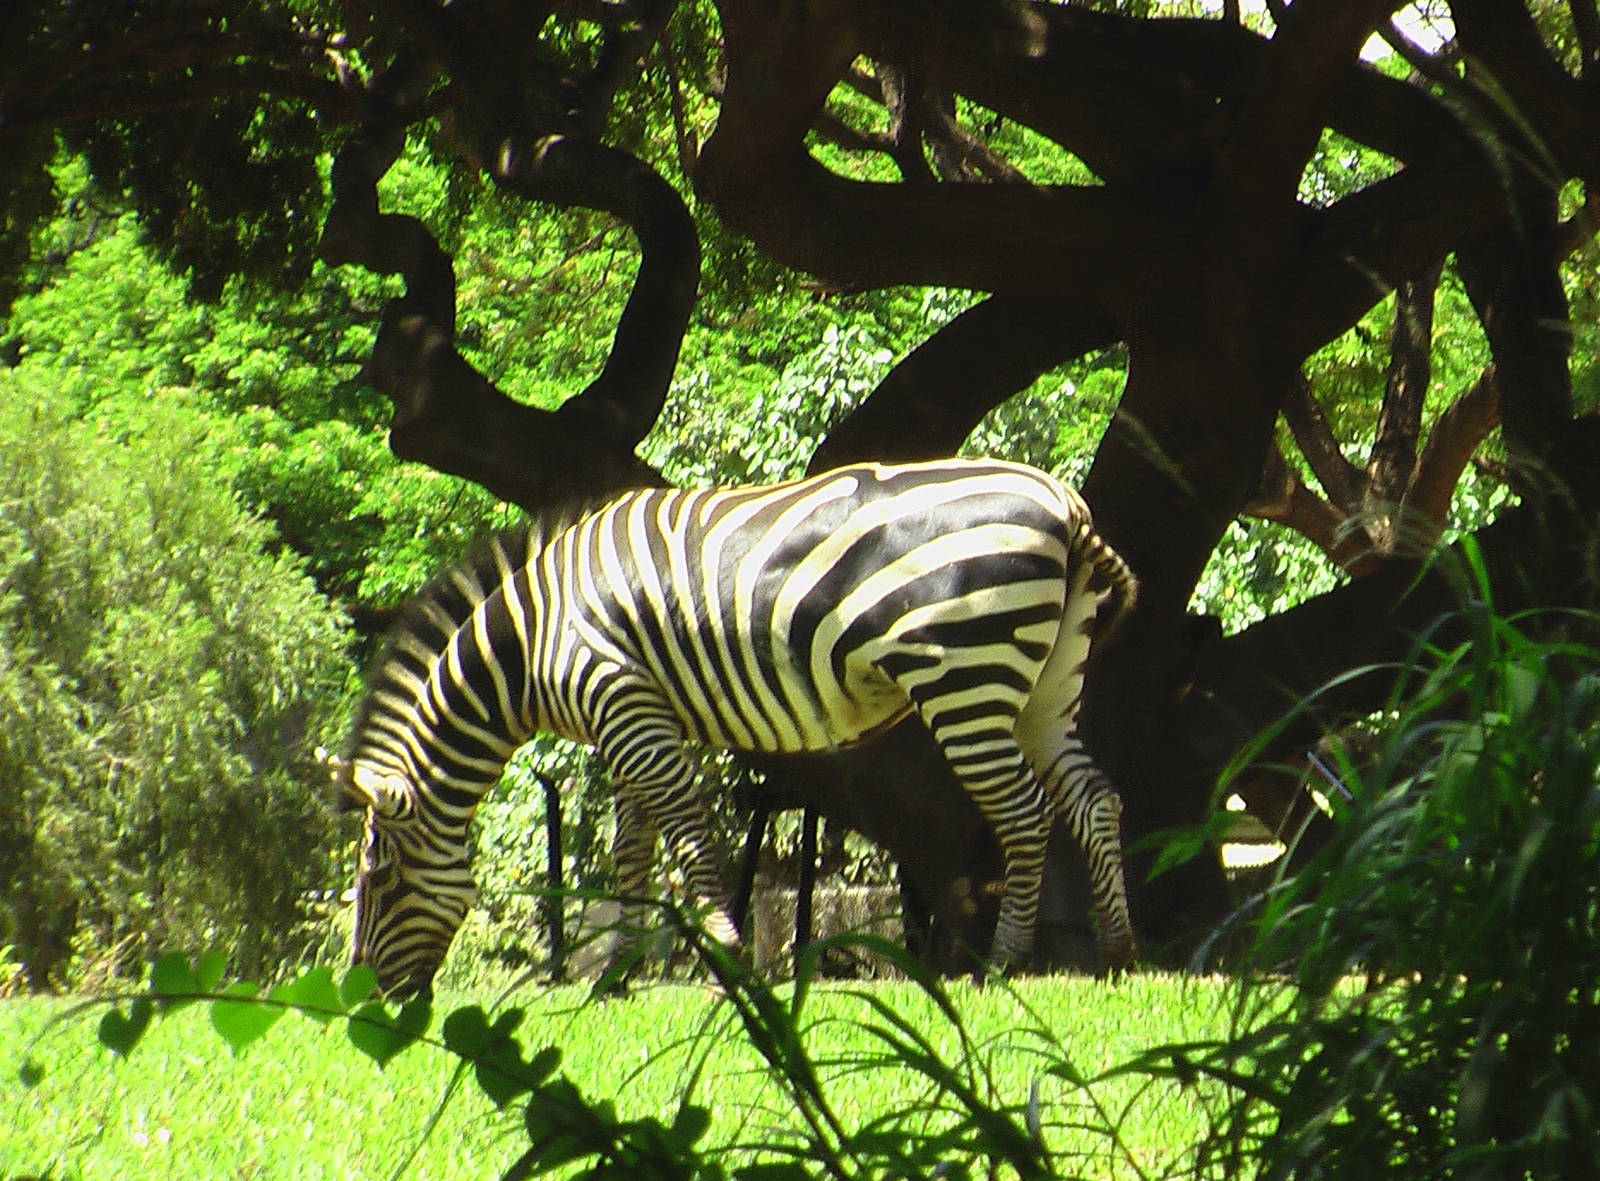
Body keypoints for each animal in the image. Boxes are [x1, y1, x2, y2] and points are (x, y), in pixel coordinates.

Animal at [321, 458, 1138, 997]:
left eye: (379, 878)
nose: (366, 999)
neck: (529, 643)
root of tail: (1064, 502)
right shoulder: (632, 716)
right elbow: (633, 850)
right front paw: (616, 978)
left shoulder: (624, 703)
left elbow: (686, 839)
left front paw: (724, 968)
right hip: (1047, 682)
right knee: (1093, 799)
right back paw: (1120, 956)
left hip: (966, 675)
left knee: (1025, 813)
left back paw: (1005, 964)